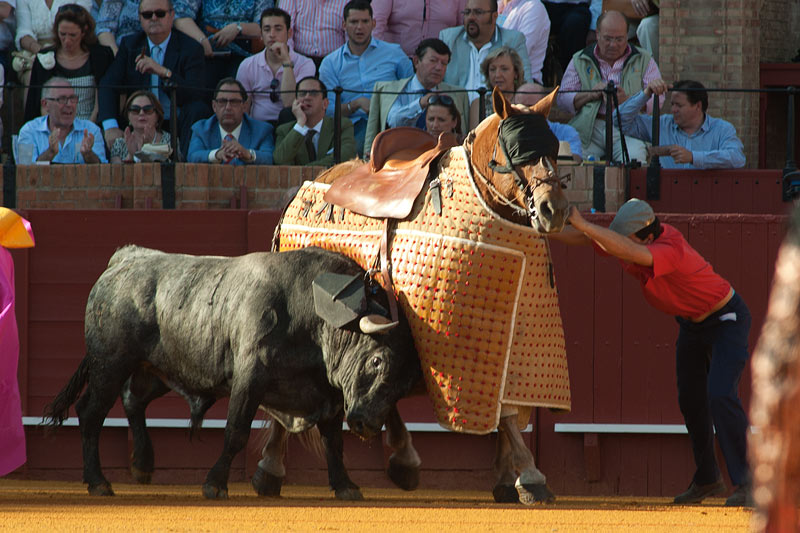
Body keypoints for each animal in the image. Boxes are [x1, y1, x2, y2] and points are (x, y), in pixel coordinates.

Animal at [44, 245, 422, 498]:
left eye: (404, 385)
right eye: (377, 361)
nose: (367, 424)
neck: (312, 318)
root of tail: (125, 258)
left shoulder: (326, 393)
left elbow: (334, 442)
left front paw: (346, 486)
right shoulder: (250, 376)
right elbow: (236, 432)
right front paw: (214, 484)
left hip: (159, 367)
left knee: (133, 400)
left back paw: (143, 465)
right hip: (110, 363)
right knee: (91, 412)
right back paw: (98, 482)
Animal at [262, 87, 576, 502]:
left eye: (555, 148)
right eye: (516, 150)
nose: (553, 209)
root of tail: (307, 187)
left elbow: (508, 406)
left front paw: (507, 478)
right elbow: (508, 416)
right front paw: (531, 477)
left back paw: (401, 459)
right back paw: (271, 469)